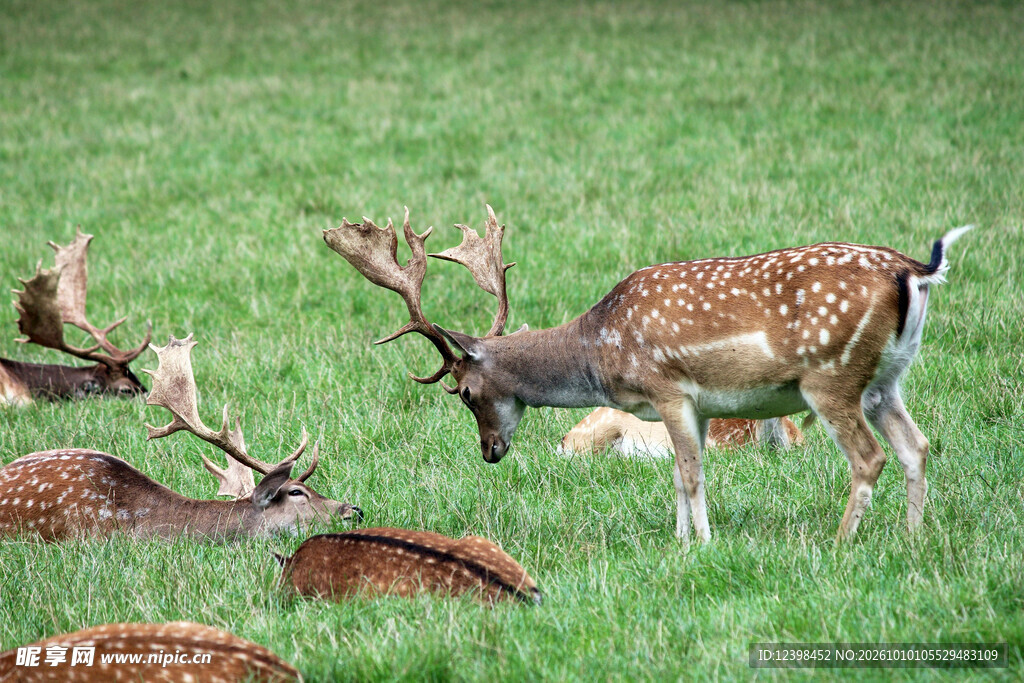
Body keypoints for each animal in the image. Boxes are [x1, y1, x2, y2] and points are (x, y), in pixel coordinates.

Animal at [325, 205, 972, 544]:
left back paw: (841, 544)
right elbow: (684, 476)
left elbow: (689, 474)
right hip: (887, 379)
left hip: (831, 378)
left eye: (462, 392)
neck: (600, 349)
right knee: (916, 445)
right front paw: (683, 541)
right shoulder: (702, 406)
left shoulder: (669, 389)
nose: (489, 451)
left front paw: (702, 544)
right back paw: (913, 539)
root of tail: (917, 270)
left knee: (871, 456)